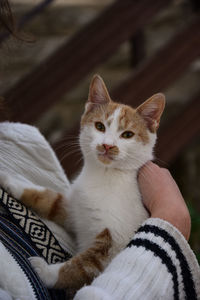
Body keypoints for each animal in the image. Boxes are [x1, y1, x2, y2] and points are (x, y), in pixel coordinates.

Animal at [0, 74, 166, 290]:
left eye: (127, 134)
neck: (104, 175)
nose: (107, 145)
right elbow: (50, 200)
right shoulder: (74, 209)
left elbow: (81, 265)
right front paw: (9, 180)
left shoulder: (114, 244)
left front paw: (45, 271)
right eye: (100, 126)